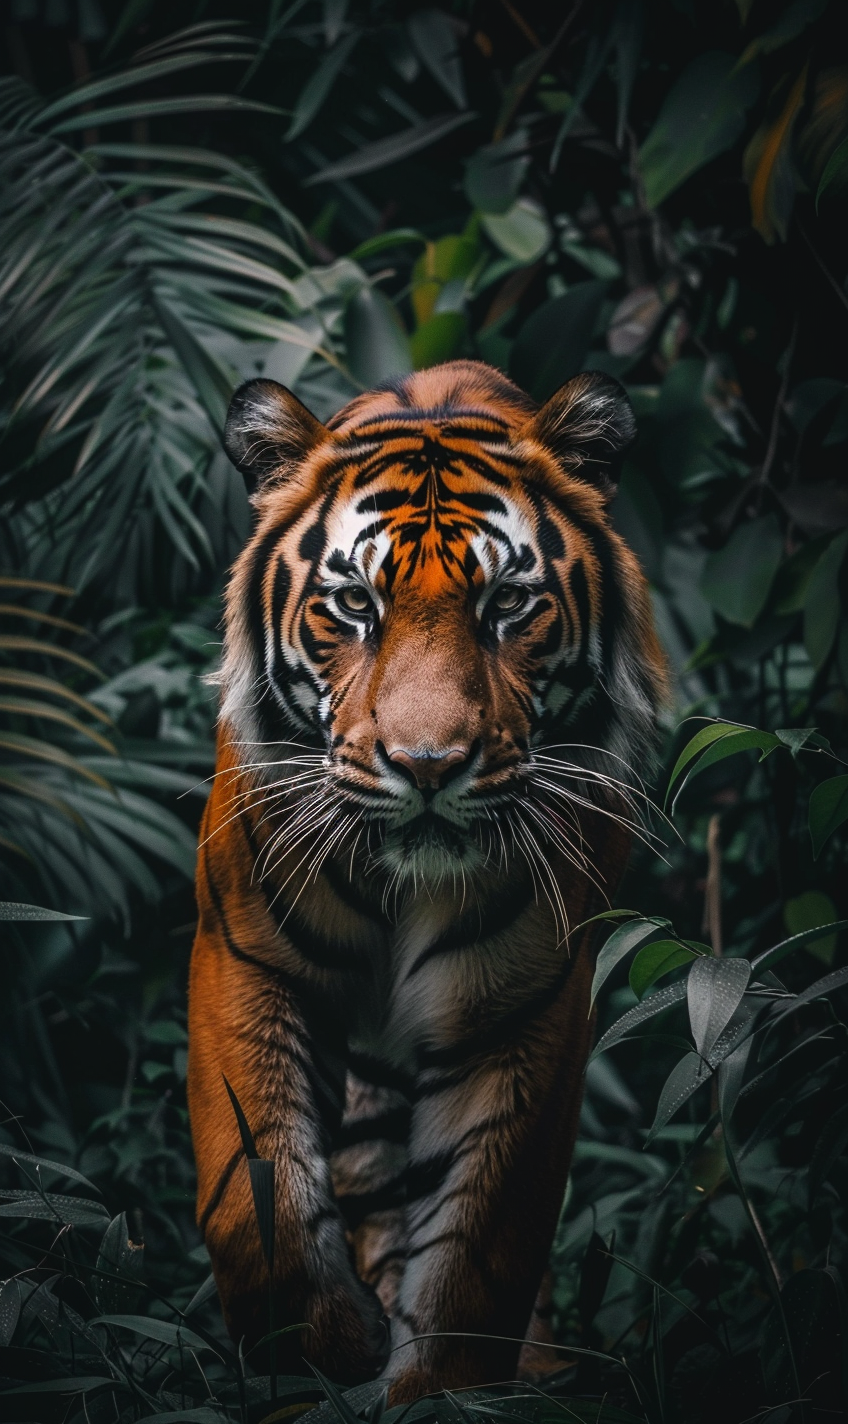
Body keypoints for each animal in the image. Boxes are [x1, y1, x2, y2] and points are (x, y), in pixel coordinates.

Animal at [187, 358, 668, 1401]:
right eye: (355, 606)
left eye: (509, 606)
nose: (428, 764)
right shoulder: (243, 960)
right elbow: (254, 1199)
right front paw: (320, 1357)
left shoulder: (523, 1012)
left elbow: (477, 1256)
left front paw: (429, 1393)